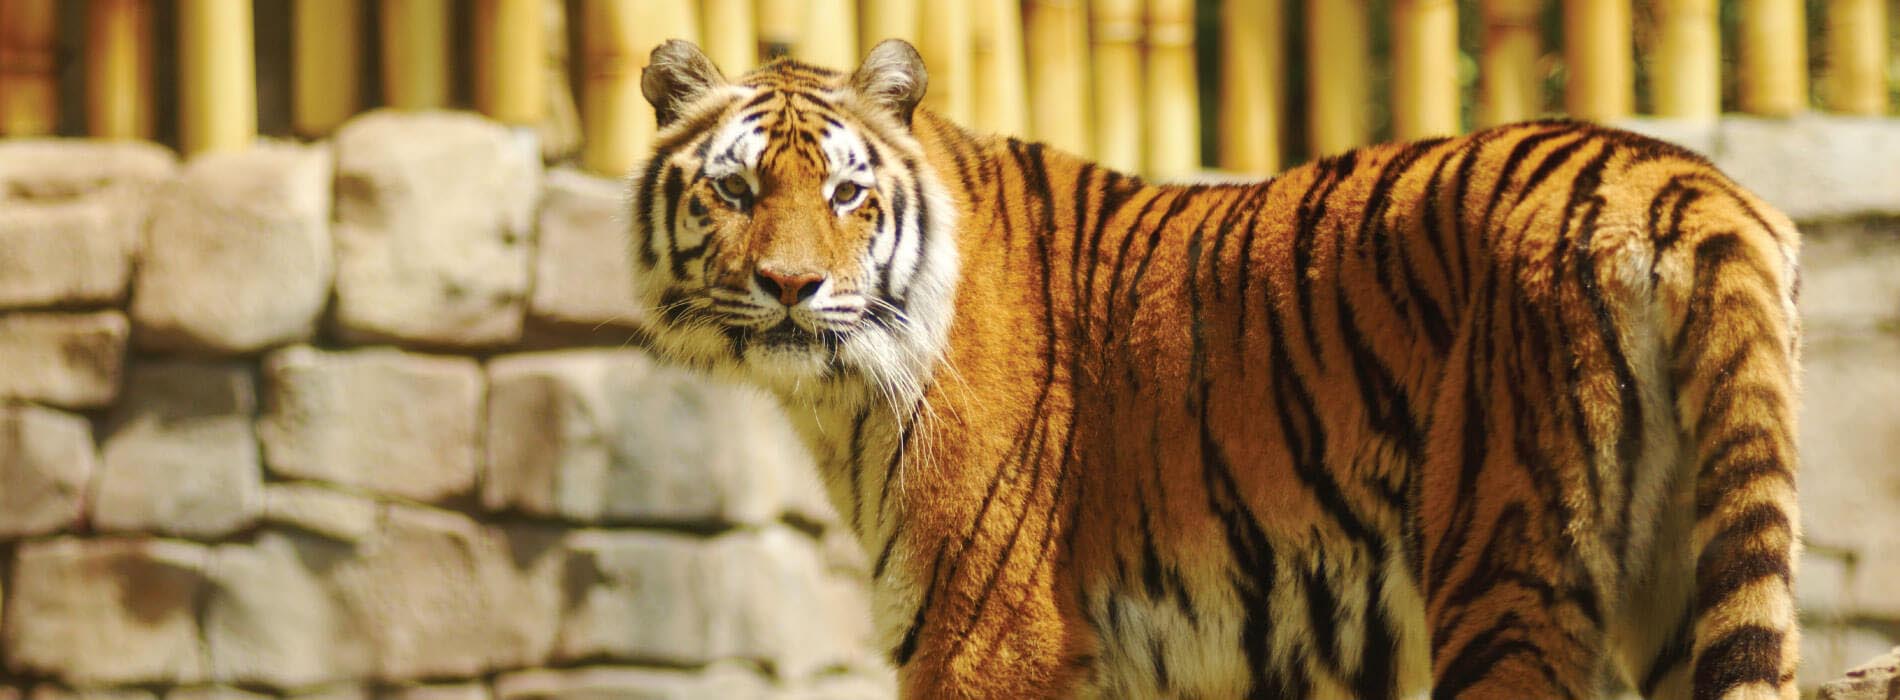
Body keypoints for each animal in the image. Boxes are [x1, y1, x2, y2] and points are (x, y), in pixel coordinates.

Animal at [629, 38, 1803, 700]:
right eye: (735, 191)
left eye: (845, 194)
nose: (791, 286)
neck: (841, 397)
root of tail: (1677, 176)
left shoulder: (984, 639)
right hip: (1693, 569)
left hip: (1505, 569)